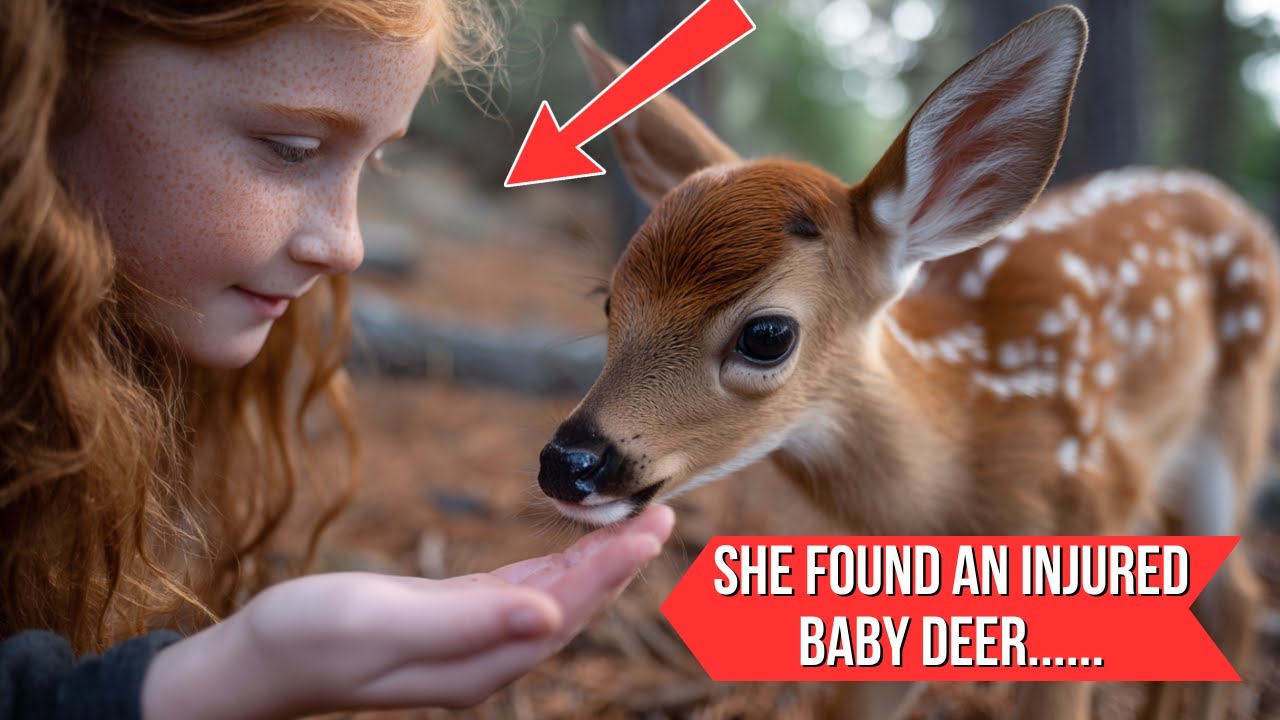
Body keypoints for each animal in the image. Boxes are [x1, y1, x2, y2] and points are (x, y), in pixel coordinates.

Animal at [534, 6, 1280, 719]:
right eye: (608, 300)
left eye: (767, 334)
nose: (569, 462)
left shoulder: (1086, 511)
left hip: (1231, 417)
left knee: (1236, 599)